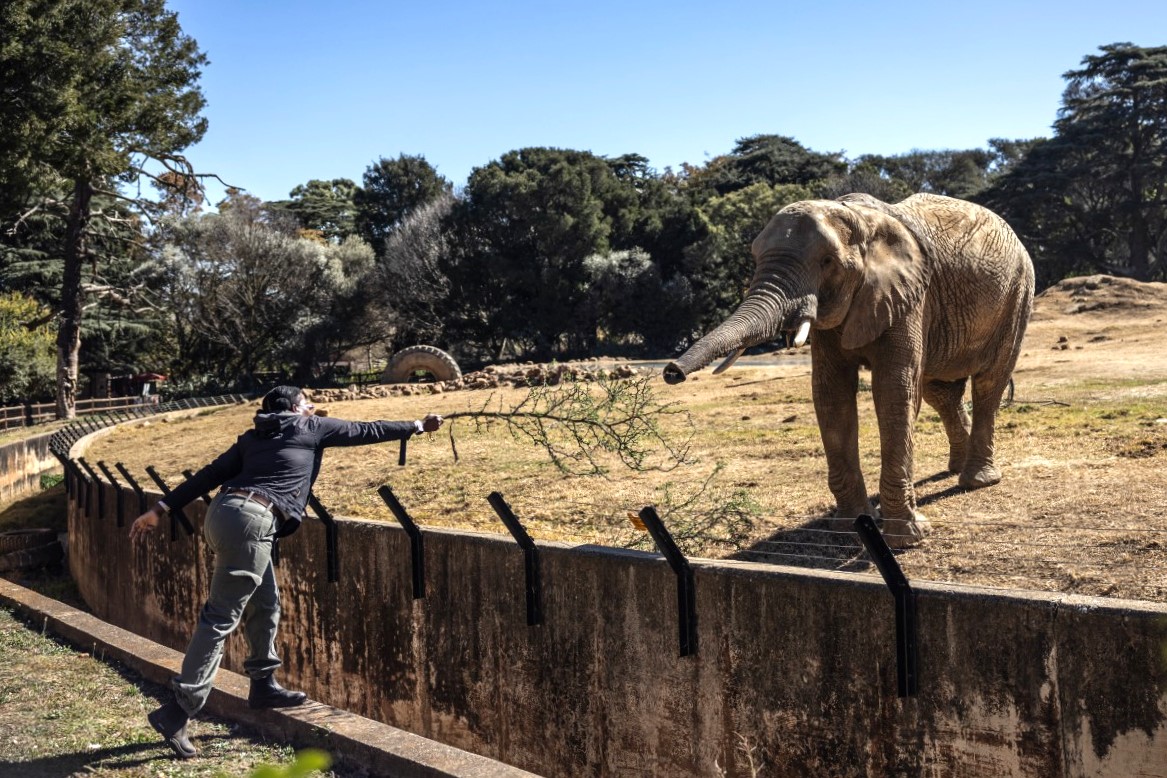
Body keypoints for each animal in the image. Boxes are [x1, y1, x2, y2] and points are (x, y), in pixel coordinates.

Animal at [663, 193, 1035, 547]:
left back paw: (977, 481)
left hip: (1017, 296)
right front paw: (850, 527)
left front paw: (908, 539)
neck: (857, 218)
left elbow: (895, 391)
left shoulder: (911, 296)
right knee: (940, 392)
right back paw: (956, 467)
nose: (671, 372)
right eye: (755, 260)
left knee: (988, 383)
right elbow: (831, 392)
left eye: (827, 262)